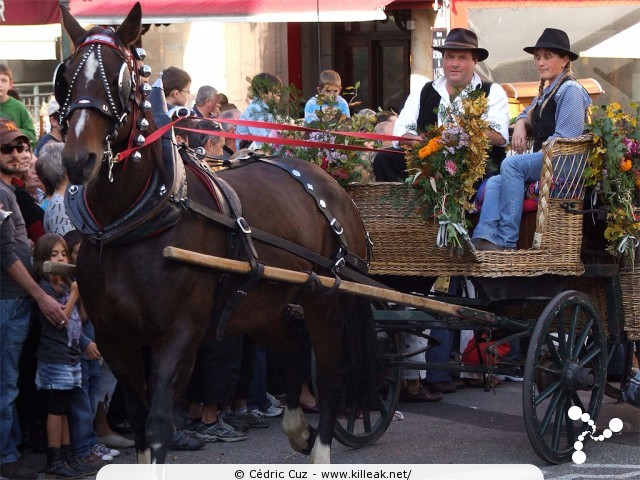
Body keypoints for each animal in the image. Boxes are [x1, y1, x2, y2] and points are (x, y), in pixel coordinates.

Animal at [57, 1, 378, 464]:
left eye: (121, 76)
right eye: (65, 75)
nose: (78, 158)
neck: (135, 223)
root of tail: (334, 187)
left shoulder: (181, 334)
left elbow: (158, 425)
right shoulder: (114, 337)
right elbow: (137, 419)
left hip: (326, 301)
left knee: (332, 375)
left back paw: (318, 451)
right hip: (260, 306)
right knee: (293, 350)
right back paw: (297, 429)